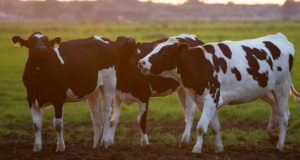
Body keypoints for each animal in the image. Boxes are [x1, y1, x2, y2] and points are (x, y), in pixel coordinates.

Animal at [139, 32, 300, 154]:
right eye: (154, 48)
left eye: (165, 51)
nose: (141, 62)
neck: (200, 64)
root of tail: (280, 37)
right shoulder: (204, 101)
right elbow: (214, 126)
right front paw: (219, 147)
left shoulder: (211, 99)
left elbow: (201, 126)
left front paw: (197, 149)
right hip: (264, 89)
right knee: (276, 108)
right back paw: (272, 134)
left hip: (282, 87)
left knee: (284, 116)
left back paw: (280, 145)